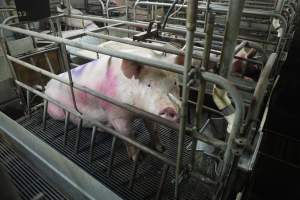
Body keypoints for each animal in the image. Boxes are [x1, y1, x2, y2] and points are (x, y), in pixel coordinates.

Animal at [44, 41, 183, 161]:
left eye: (175, 83)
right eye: (148, 85)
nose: (169, 108)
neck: (136, 111)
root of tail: (47, 86)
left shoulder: (148, 113)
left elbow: (153, 129)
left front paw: (161, 148)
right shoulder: (116, 114)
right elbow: (128, 136)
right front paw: (137, 158)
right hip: (56, 110)